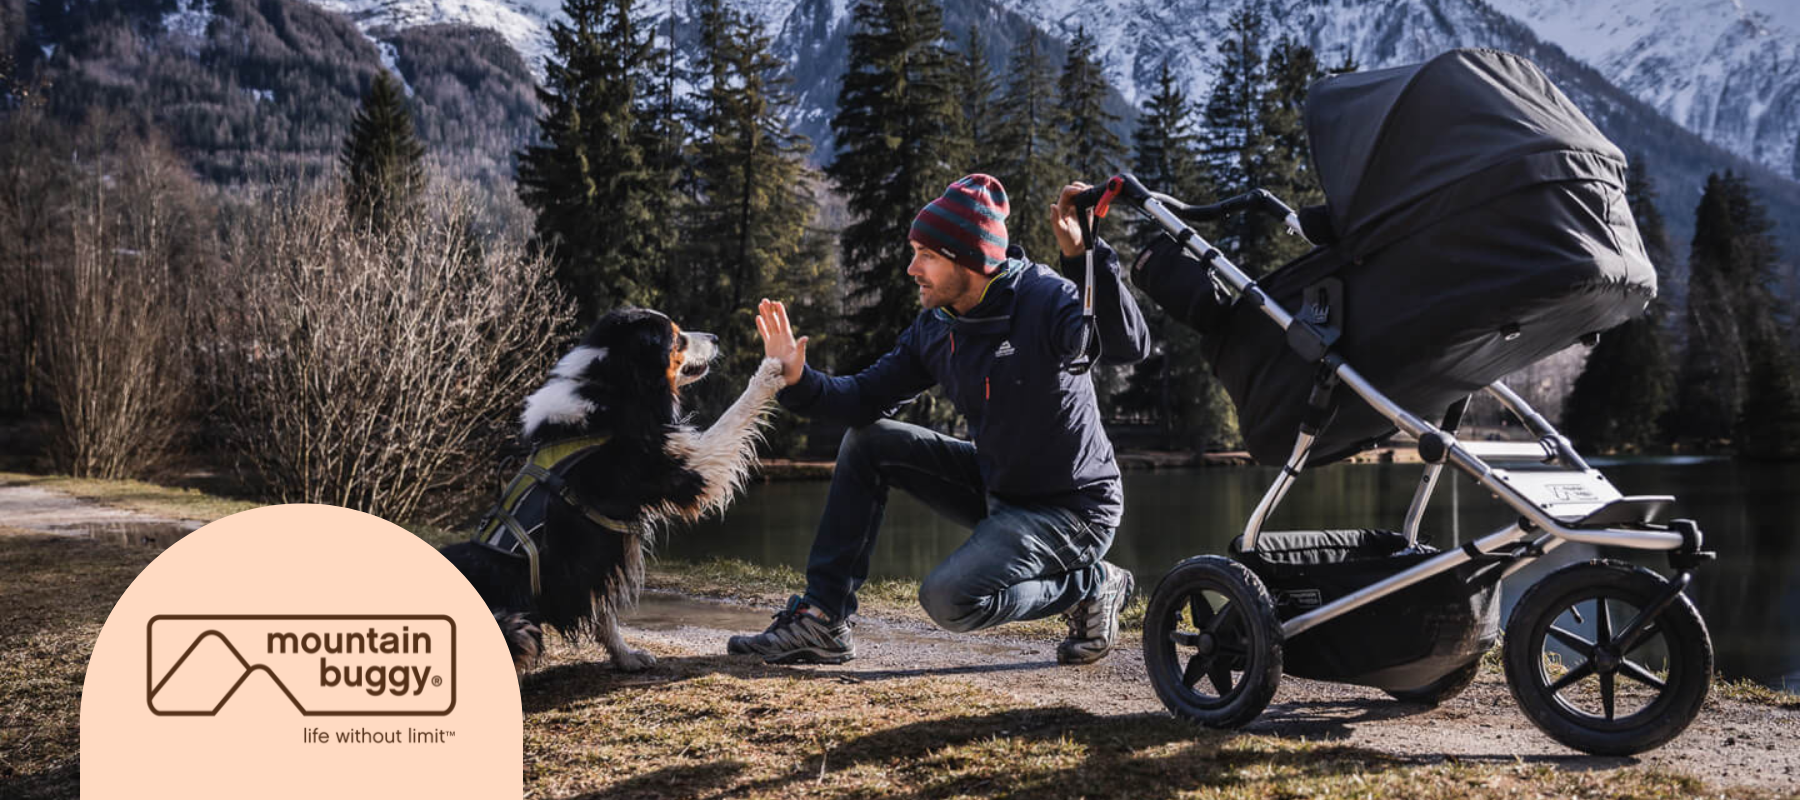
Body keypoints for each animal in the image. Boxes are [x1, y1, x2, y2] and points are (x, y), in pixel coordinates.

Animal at [439, 309, 784, 670]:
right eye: (677, 338)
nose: (716, 338)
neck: (613, 388)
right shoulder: (684, 468)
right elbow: (733, 417)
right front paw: (770, 370)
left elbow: (605, 613)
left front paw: (626, 656)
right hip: (515, 624)